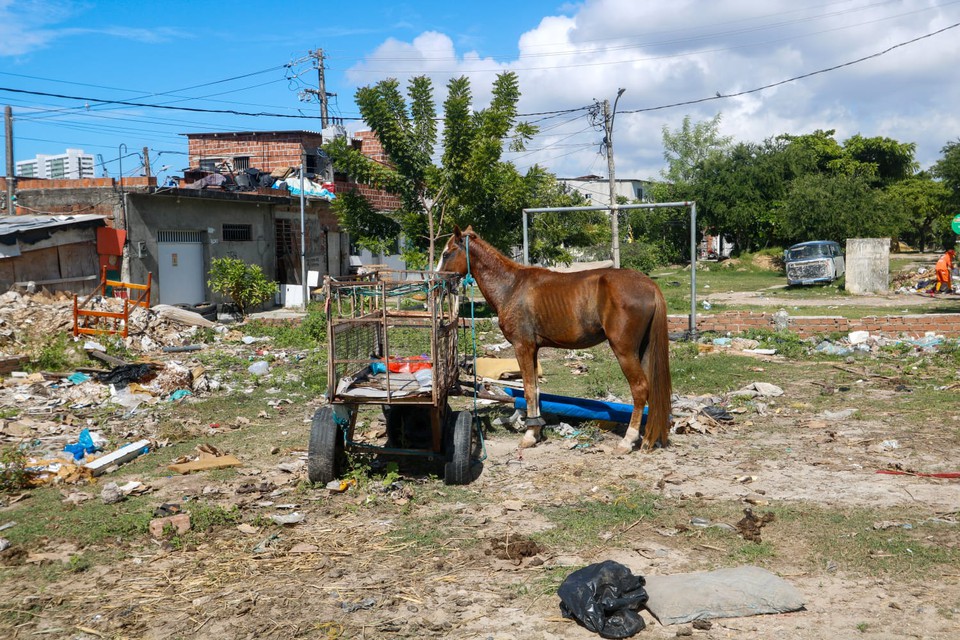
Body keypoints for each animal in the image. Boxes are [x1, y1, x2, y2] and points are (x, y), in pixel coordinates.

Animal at [438, 225, 672, 450]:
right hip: (644, 350)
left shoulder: (522, 347)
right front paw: (535, 431)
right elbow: (536, 389)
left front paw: (529, 437)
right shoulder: (533, 349)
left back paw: (628, 440)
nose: (437, 281)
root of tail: (649, 285)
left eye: (447, 253)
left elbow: (528, 389)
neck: (511, 286)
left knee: (640, 388)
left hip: (624, 351)